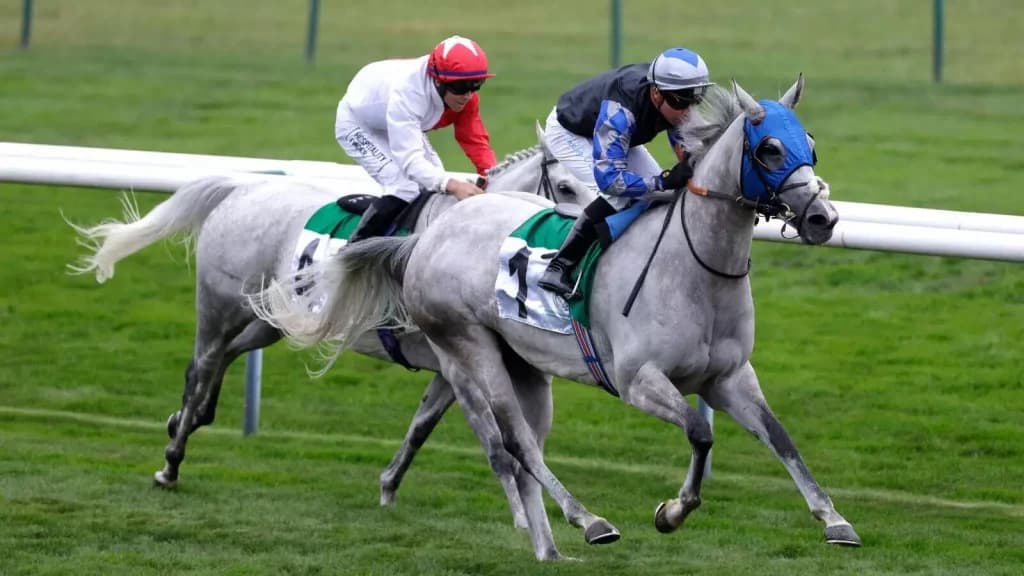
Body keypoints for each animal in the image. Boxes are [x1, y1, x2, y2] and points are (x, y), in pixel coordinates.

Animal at [67, 123, 593, 530]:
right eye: (566, 187)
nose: (588, 235)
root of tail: (243, 188)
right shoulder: (457, 360)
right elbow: (492, 439)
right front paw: (526, 518)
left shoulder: (452, 364)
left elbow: (421, 426)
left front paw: (388, 486)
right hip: (219, 305)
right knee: (203, 365)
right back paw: (171, 464)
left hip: (274, 319)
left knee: (220, 360)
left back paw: (186, 418)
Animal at [261, 76, 861, 560]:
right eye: (769, 149)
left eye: (810, 144)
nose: (822, 218)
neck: (695, 266)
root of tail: (428, 237)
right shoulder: (638, 381)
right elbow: (699, 432)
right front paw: (672, 511)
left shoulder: (729, 377)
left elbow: (780, 438)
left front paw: (835, 520)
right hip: (468, 348)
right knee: (517, 443)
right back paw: (588, 520)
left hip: (522, 364)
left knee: (525, 444)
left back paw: (548, 537)